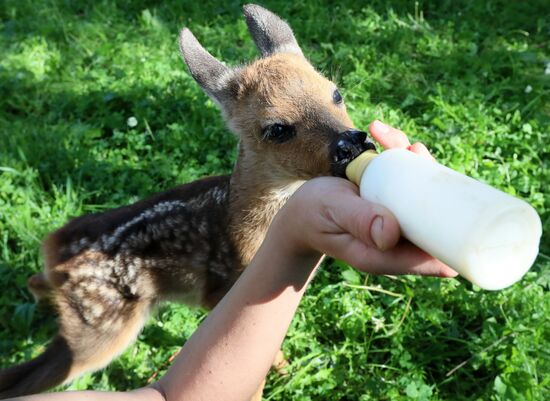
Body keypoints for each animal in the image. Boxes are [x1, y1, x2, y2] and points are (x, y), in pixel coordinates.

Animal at [0, 4, 376, 398]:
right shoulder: (222, 294)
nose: (350, 143)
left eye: (335, 93)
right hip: (102, 326)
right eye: (277, 129)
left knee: (34, 283)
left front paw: (287, 370)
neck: (243, 231)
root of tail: (54, 247)